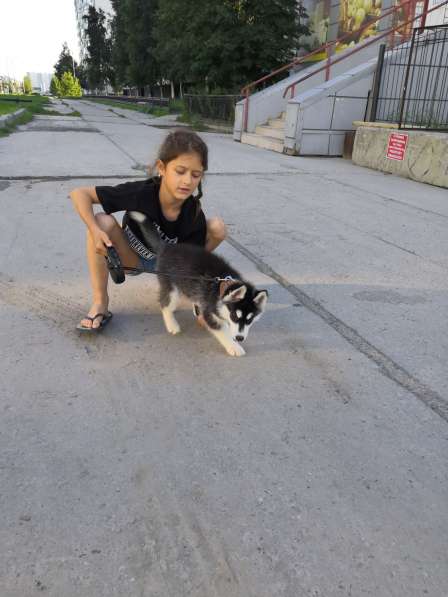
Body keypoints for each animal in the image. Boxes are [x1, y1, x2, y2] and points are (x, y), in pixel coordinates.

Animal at [129, 212, 270, 356]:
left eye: (249, 320)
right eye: (235, 316)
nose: (240, 338)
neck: (223, 286)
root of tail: (167, 247)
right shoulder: (210, 312)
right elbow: (222, 331)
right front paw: (234, 346)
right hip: (171, 286)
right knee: (165, 304)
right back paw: (172, 324)